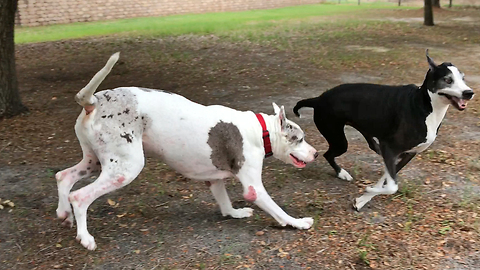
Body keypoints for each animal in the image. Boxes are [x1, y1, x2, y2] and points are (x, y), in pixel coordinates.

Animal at [55, 52, 318, 251]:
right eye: (300, 138)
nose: (316, 153)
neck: (259, 130)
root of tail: (94, 101)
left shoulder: (214, 179)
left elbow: (225, 205)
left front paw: (235, 213)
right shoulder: (254, 189)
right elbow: (278, 211)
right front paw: (298, 222)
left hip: (96, 162)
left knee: (63, 176)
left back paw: (63, 213)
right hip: (125, 169)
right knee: (79, 197)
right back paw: (85, 237)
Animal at [294, 50, 474, 211]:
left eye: (463, 78)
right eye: (447, 79)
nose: (469, 93)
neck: (424, 105)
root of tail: (319, 99)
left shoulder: (406, 154)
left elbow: (387, 179)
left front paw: (363, 199)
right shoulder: (391, 148)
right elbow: (392, 186)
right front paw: (368, 190)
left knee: (370, 146)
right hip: (338, 140)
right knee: (328, 154)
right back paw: (341, 173)